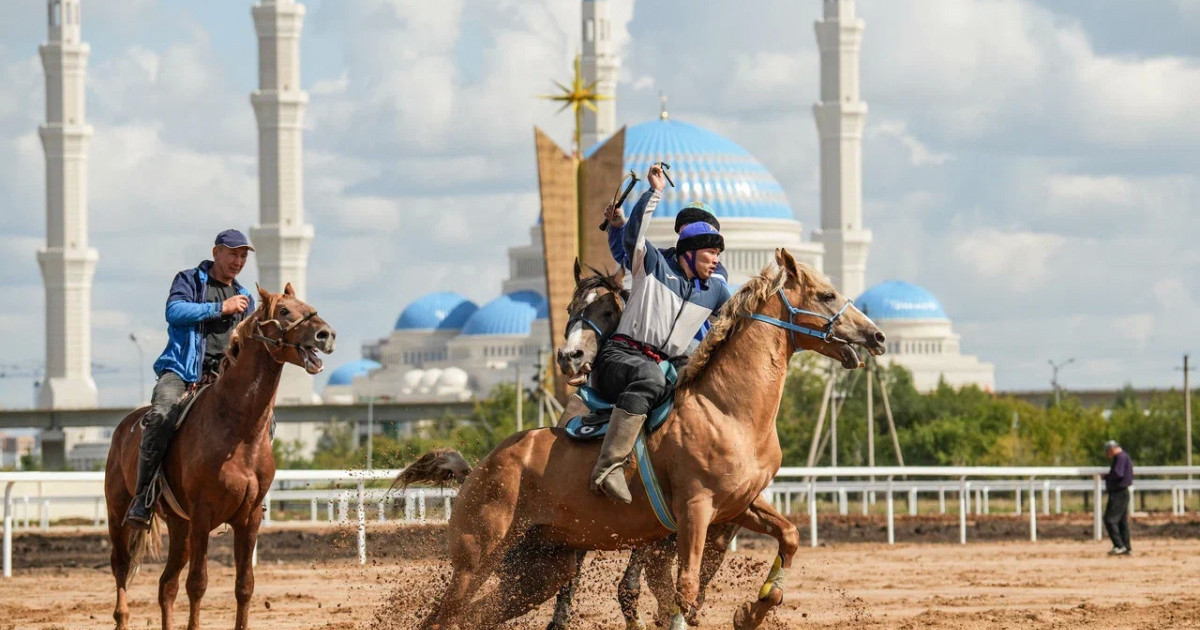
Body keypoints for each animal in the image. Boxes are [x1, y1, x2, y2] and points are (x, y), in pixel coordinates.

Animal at [103, 284, 336, 628]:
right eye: (284, 311)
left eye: (307, 305)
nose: (326, 334)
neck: (237, 430)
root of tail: (123, 428)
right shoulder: (203, 515)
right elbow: (198, 584)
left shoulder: (248, 518)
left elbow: (244, 585)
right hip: (120, 514)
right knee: (121, 567)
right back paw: (122, 613)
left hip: (179, 527)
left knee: (166, 585)